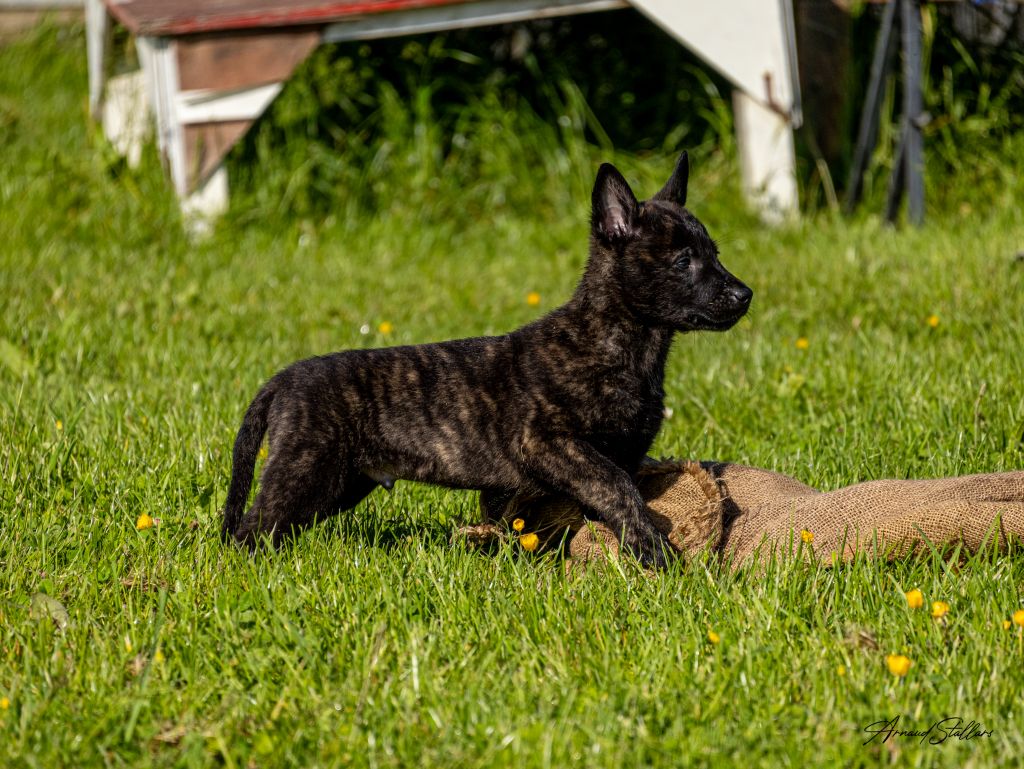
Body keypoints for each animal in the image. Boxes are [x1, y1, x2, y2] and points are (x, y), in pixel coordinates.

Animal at [226, 153, 753, 569]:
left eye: (714, 254)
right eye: (683, 260)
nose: (745, 295)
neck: (618, 343)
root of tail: (284, 379)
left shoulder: (614, 452)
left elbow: (603, 500)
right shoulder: (548, 443)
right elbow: (617, 487)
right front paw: (658, 557)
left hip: (338, 483)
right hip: (306, 471)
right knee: (252, 526)